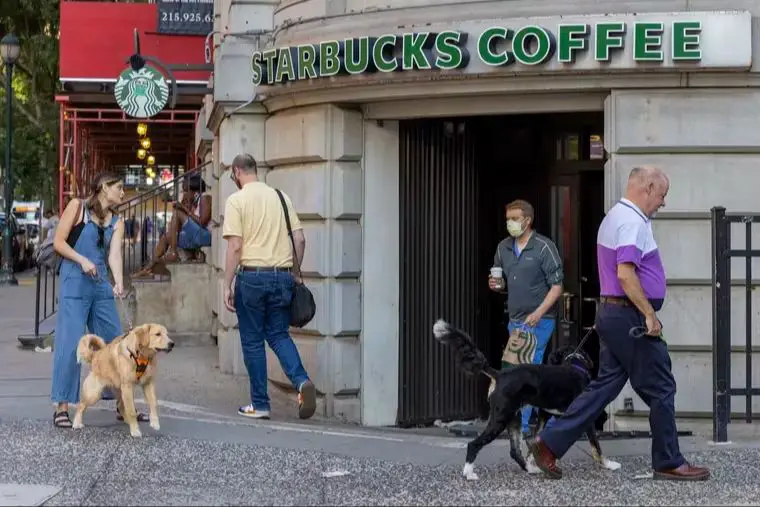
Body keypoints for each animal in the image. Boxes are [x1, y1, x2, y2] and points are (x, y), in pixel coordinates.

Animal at [430, 320, 620, 482]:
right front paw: (608, 464)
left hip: (514, 419)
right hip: (500, 419)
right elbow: (596, 445)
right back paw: (469, 473)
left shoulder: (544, 417)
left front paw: (539, 459)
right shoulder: (586, 418)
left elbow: (534, 443)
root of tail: (499, 374)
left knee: (514, 451)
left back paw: (531, 469)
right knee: (473, 444)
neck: (574, 365)